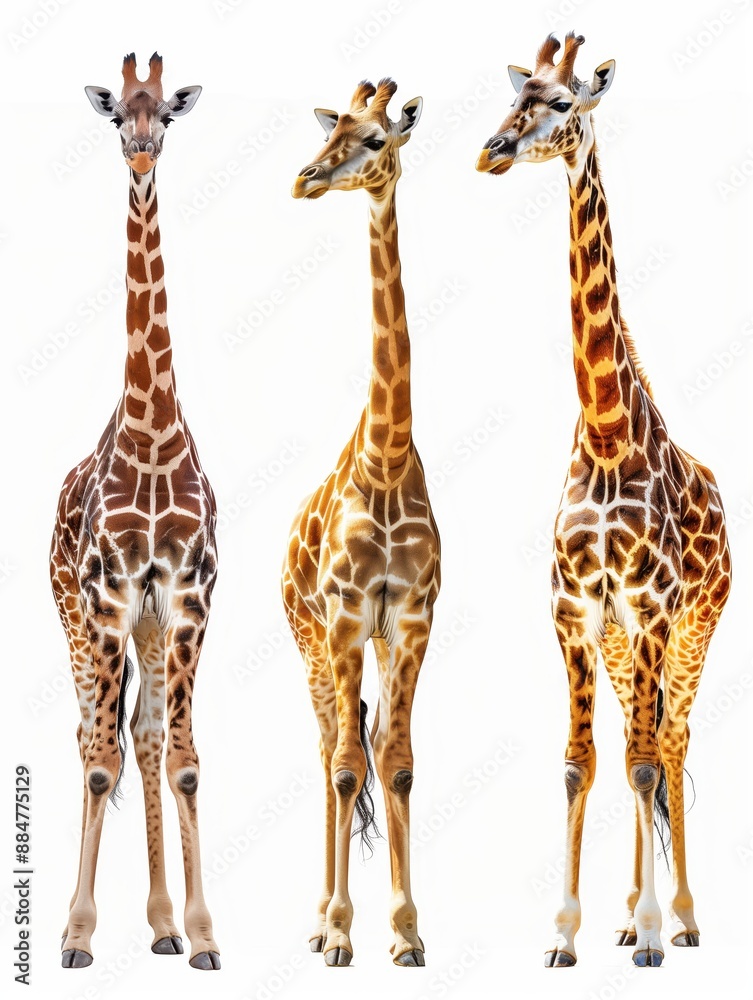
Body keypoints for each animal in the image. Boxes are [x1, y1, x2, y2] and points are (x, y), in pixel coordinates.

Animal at [476, 33, 731, 968]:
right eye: (515, 96)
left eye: (561, 104)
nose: (492, 150)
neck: (606, 432)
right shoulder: (576, 610)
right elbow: (580, 762)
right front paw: (565, 933)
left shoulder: (653, 610)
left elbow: (650, 762)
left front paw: (655, 933)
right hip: (625, 644)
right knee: (637, 740)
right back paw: (626, 916)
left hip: (694, 627)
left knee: (673, 740)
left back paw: (680, 919)